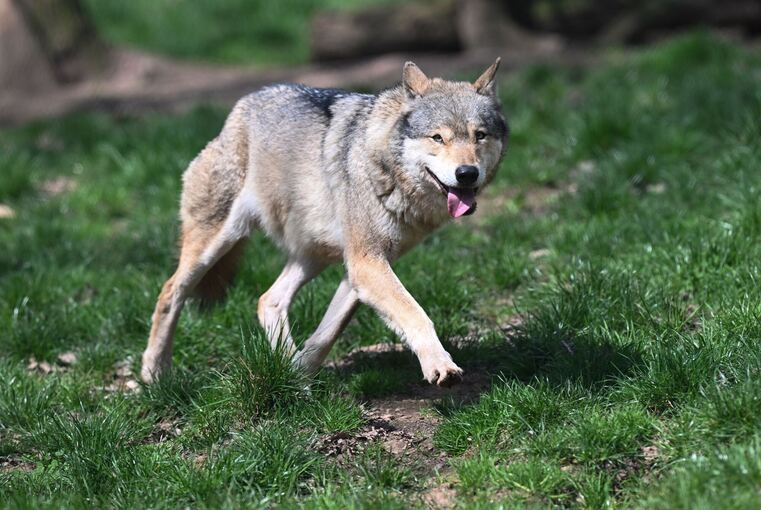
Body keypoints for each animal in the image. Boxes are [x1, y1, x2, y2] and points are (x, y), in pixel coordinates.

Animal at [141, 59, 508, 387]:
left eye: (479, 135)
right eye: (437, 138)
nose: (467, 173)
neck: (384, 167)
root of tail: (241, 107)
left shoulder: (360, 270)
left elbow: (326, 335)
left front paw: (298, 378)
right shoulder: (366, 264)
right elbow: (416, 314)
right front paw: (439, 366)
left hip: (314, 255)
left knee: (268, 299)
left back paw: (284, 365)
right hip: (215, 245)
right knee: (170, 292)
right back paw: (154, 374)